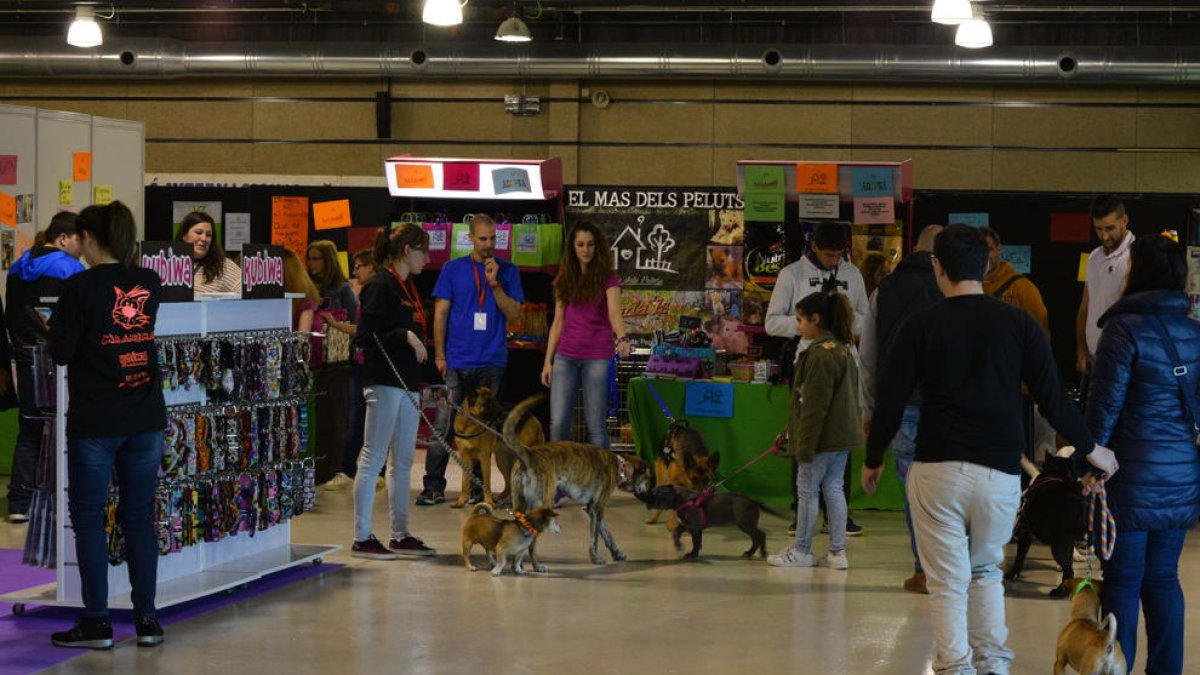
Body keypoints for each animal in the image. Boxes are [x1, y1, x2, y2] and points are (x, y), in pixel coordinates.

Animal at [1003, 451, 1089, 593]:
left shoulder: (1026, 533)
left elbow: (1020, 557)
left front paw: (1012, 574)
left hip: (1057, 544)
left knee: (1068, 570)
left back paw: (1059, 591)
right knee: (1068, 568)